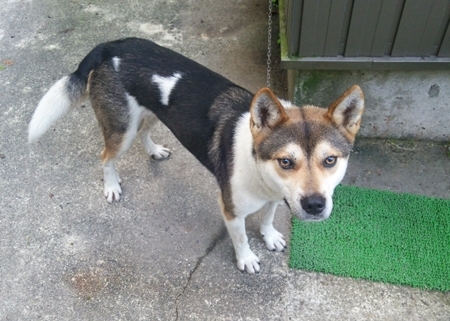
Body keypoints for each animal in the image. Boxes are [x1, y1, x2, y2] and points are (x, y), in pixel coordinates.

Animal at [28, 37, 364, 272]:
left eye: (330, 160)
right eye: (286, 161)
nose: (314, 206)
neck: (261, 174)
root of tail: (110, 46)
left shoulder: (275, 196)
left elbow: (267, 219)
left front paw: (269, 238)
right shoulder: (231, 210)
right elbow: (241, 237)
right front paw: (247, 259)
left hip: (151, 113)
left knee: (143, 133)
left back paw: (155, 151)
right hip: (121, 128)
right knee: (106, 157)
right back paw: (111, 185)